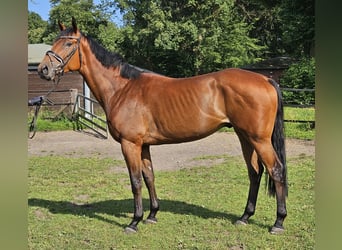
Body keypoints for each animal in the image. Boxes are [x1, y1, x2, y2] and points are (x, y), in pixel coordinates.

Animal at [37, 18, 288, 234]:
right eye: (55, 41)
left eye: (69, 43)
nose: (43, 69)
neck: (122, 89)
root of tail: (265, 79)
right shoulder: (144, 145)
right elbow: (149, 176)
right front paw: (152, 215)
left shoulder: (130, 144)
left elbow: (136, 181)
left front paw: (134, 221)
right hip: (245, 137)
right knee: (255, 172)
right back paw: (244, 217)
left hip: (259, 139)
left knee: (276, 170)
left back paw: (278, 222)